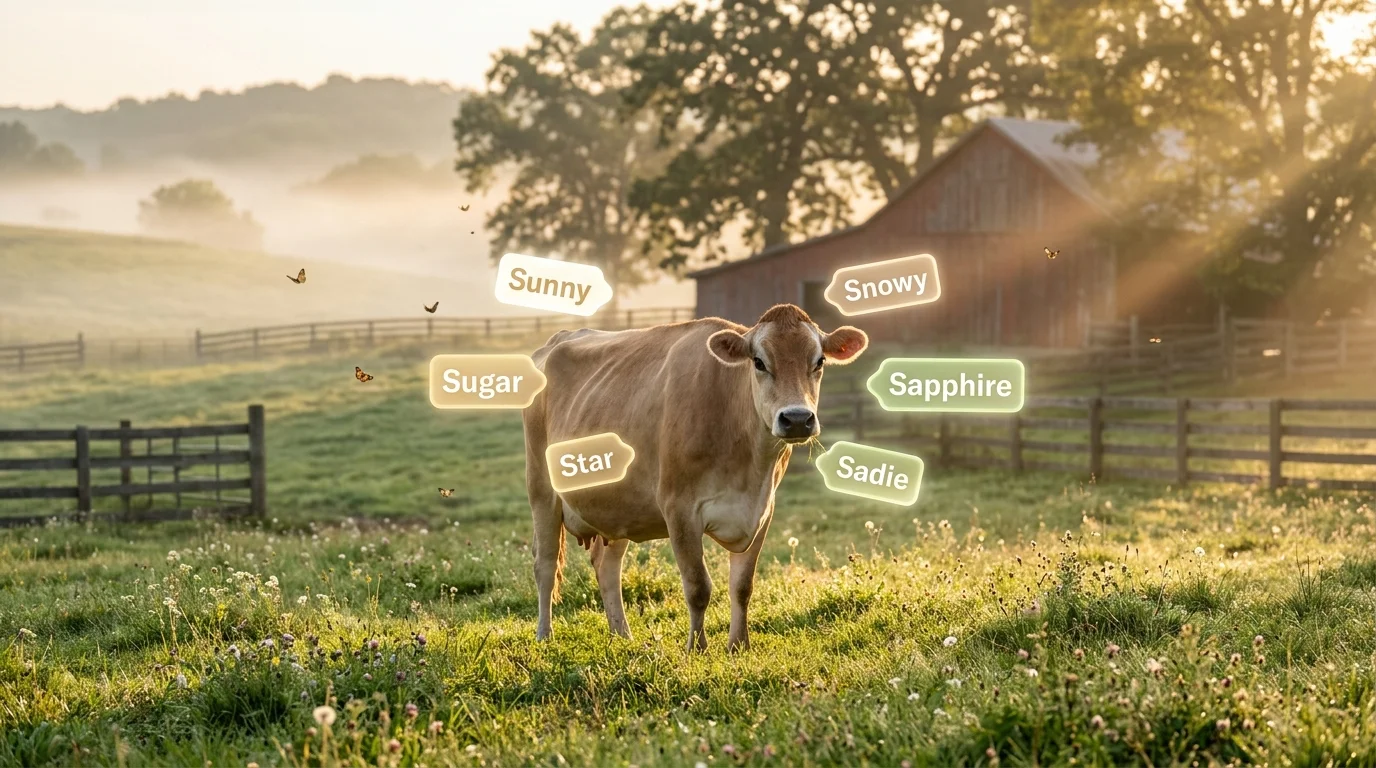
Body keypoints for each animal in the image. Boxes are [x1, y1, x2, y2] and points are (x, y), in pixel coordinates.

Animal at [522, 304, 868, 651]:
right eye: (758, 361)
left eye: (819, 361)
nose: (796, 419)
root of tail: (556, 339)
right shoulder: (680, 509)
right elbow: (698, 587)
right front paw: (697, 648)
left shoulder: (762, 512)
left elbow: (743, 586)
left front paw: (738, 645)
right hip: (542, 490)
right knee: (545, 565)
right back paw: (544, 635)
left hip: (617, 506)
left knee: (607, 565)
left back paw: (623, 634)